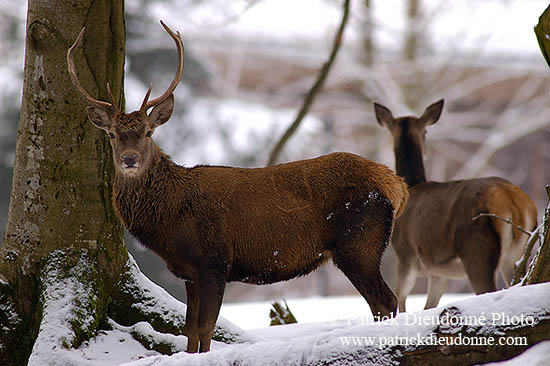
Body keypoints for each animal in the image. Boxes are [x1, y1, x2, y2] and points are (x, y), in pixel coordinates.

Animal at [68, 22, 410, 352]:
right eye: (113, 134)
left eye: (148, 132)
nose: (129, 159)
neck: (171, 220)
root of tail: (396, 185)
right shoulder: (190, 273)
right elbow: (190, 332)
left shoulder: (215, 262)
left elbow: (206, 329)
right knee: (382, 303)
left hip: (359, 243)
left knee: (386, 301)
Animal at [376, 99, 540, 312]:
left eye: (426, 132)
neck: (413, 185)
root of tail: (514, 203)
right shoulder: (438, 272)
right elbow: (429, 306)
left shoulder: (406, 253)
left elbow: (401, 300)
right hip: (516, 253)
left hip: (477, 247)